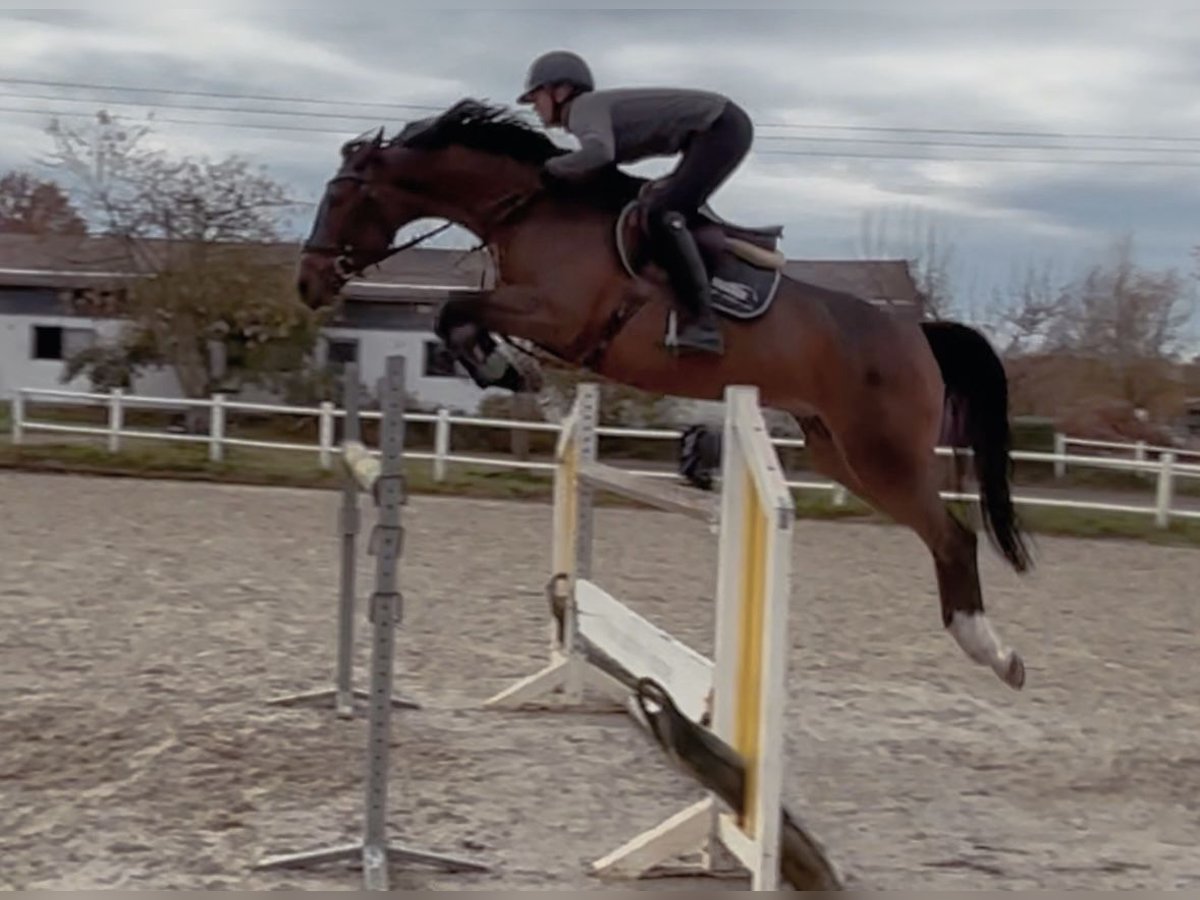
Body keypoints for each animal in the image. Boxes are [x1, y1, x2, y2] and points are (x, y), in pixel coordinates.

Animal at [296, 98, 1034, 692]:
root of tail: (915, 332)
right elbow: (453, 315)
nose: (307, 284)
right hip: (840, 453)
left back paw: (993, 652)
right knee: (936, 531)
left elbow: (452, 308)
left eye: (340, 197)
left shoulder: (558, 315)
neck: (531, 211)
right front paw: (510, 371)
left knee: (954, 535)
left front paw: (506, 370)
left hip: (884, 454)